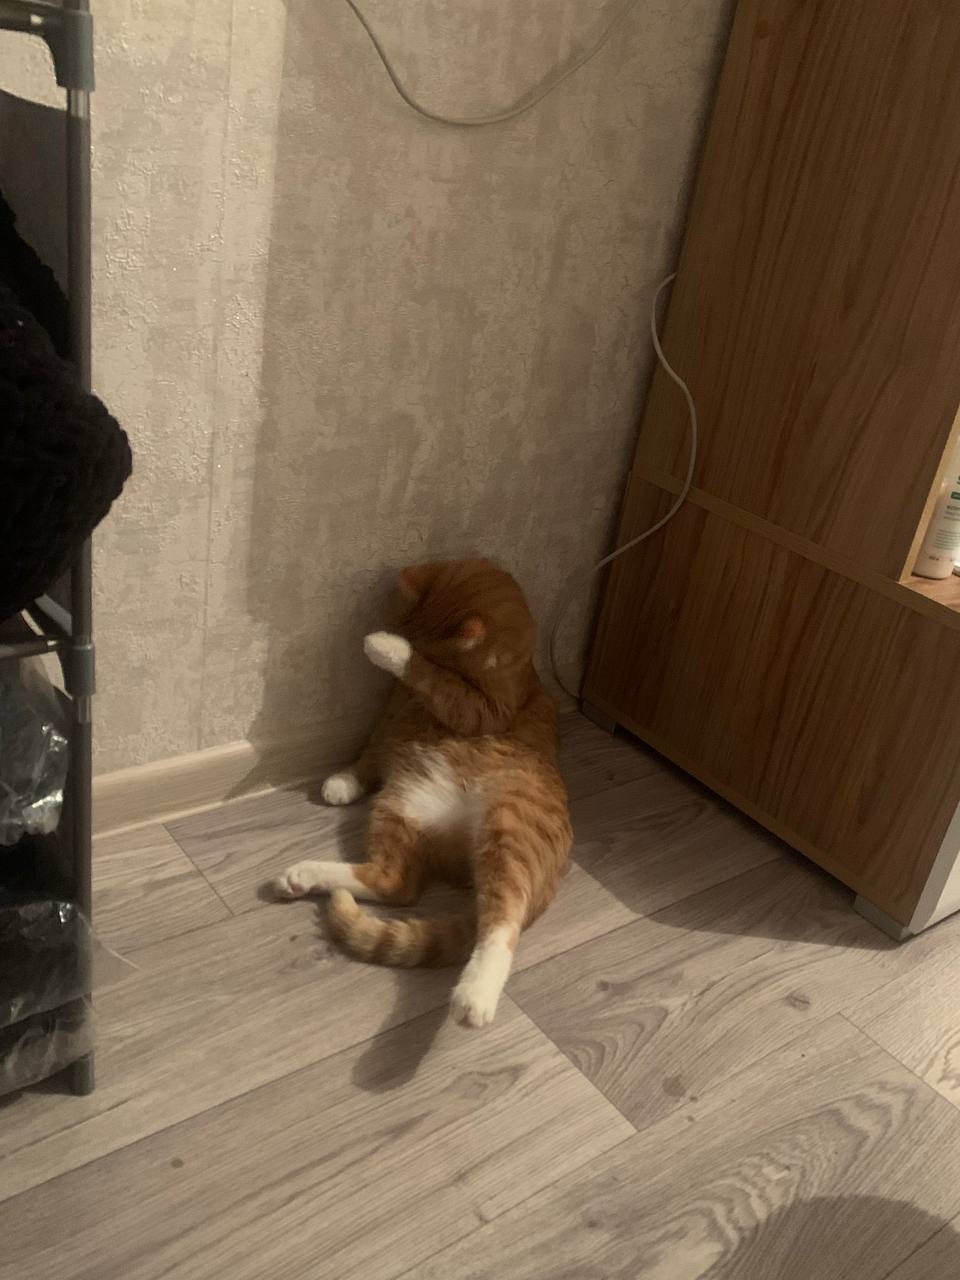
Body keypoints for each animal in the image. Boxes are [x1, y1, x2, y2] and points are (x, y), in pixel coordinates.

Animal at [274, 558, 572, 1027]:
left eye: (431, 652)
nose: (398, 639)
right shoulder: (390, 714)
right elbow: (372, 747)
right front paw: (345, 781)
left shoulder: (483, 711)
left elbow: (441, 687)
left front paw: (388, 650)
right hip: (400, 807)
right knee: (398, 884)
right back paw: (303, 876)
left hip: (509, 832)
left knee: (502, 921)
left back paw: (474, 997)